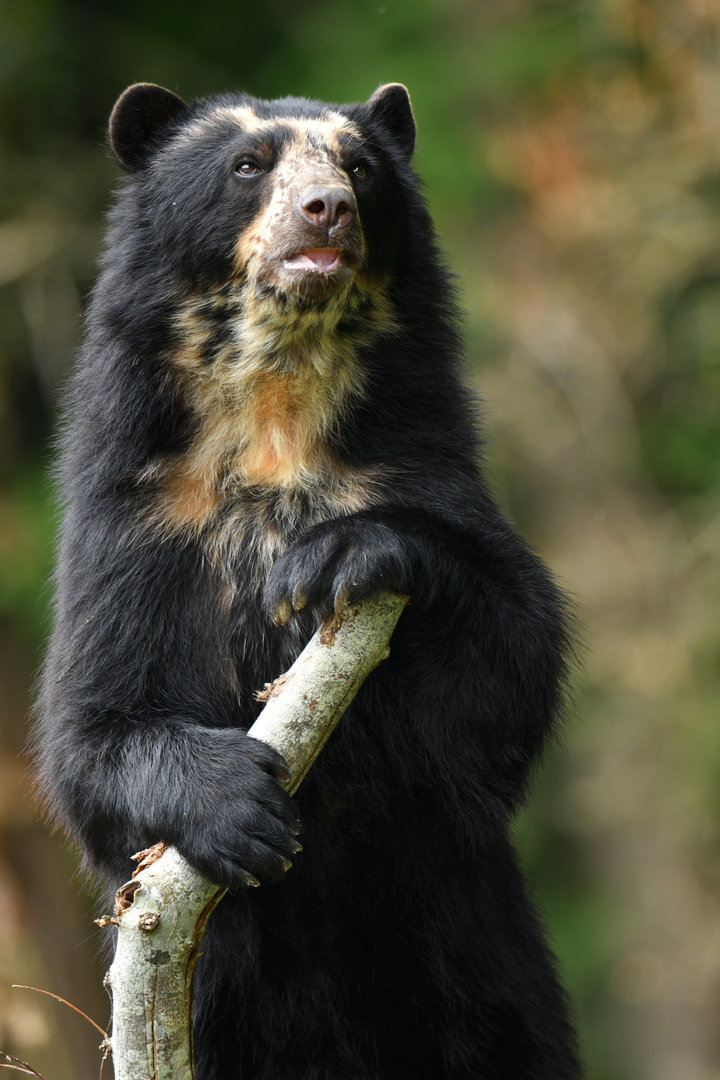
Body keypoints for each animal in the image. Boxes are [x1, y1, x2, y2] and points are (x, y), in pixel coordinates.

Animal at [35, 81, 583, 1079]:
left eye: (359, 165)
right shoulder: (137, 525)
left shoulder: (416, 462)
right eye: (248, 165)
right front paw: (239, 807)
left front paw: (331, 559)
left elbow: (504, 683)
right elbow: (89, 731)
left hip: (481, 967)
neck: (279, 403)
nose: (328, 207)